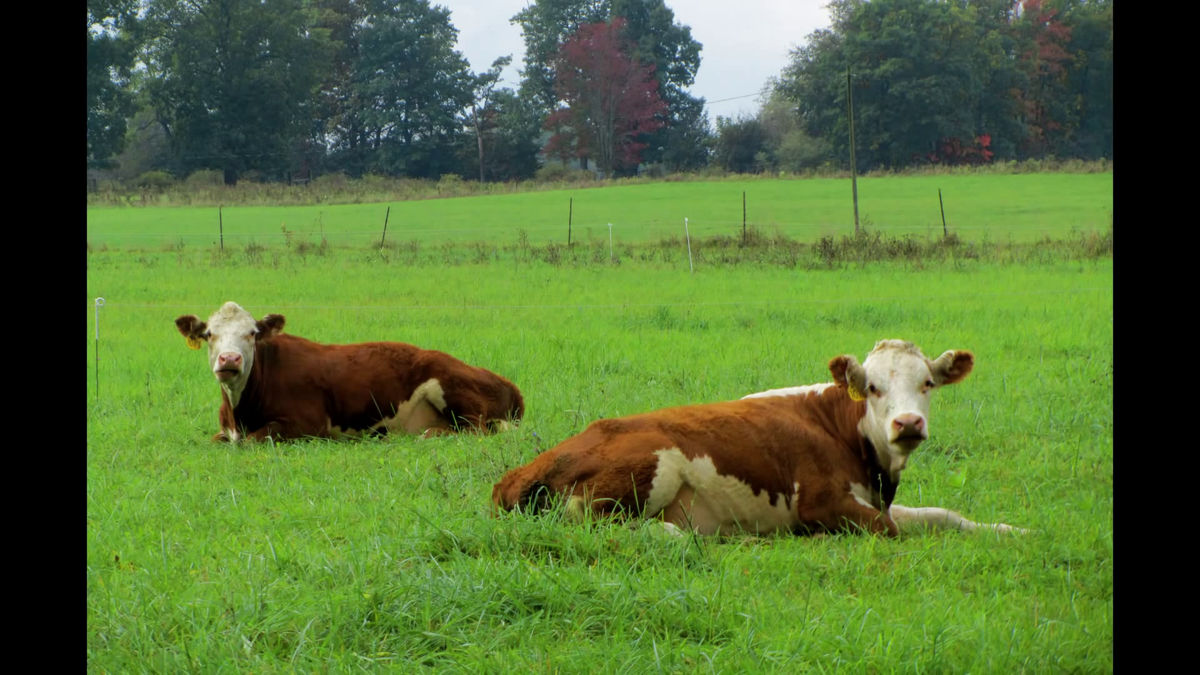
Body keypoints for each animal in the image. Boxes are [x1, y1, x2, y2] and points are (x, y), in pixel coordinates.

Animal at [175, 300, 523, 441]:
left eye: (252, 333)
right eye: (209, 335)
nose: (229, 360)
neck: (240, 411)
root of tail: (507, 383)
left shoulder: (308, 424)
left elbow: (254, 440)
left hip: (449, 386)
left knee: (475, 428)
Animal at [492, 338, 1027, 533]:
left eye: (927, 384)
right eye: (873, 388)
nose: (908, 424)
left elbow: (943, 515)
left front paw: (1013, 531)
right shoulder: (820, 502)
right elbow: (891, 529)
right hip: (642, 475)